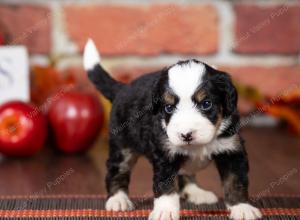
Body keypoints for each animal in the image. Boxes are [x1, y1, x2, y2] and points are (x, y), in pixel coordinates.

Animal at [82, 38, 262, 219]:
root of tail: (122, 88)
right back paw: (118, 199)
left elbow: (235, 181)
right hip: (122, 146)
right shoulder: (165, 154)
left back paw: (196, 193)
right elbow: (165, 187)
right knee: (117, 170)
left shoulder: (232, 150)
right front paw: (165, 211)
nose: (186, 135)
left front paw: (241, 207)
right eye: (168, 108)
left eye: (206, 104)